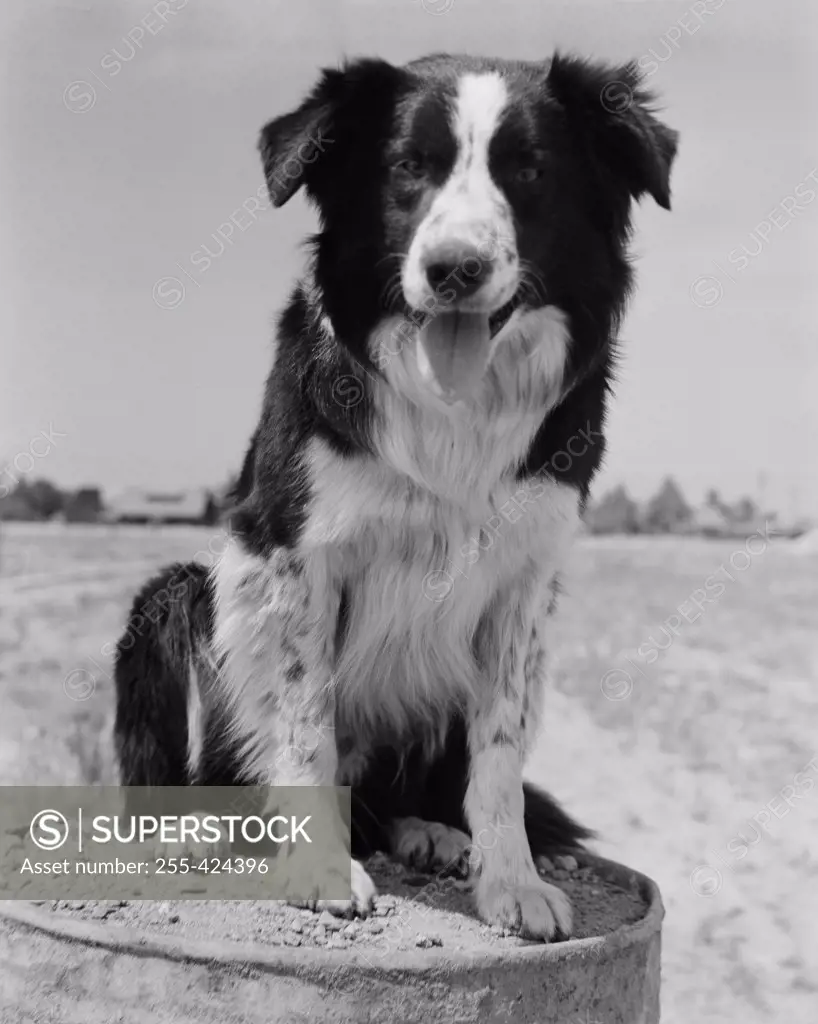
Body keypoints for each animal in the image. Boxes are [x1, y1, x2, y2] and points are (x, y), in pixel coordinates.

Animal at [115, 51, 679, 937]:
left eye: (530, 170)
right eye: (409, 168)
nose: (454, 270)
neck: (454, 404)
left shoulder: (525, 582)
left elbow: (499, 754)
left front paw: (512, 882)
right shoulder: (295, 558)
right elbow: (306, 724)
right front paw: (318, 870)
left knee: (415, 791)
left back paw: (429, 831)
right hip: (171, 601)